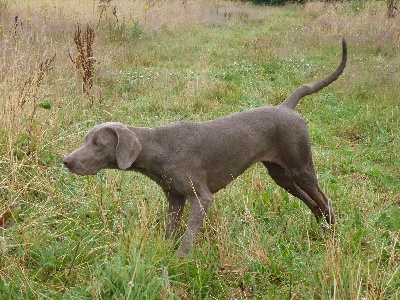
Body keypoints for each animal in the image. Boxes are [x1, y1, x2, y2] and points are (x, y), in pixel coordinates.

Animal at [63, 39, 346, 255]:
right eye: (85, 140)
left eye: (98, 143)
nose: (66, 161)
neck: (159, 148)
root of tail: (287, 106)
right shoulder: (174, 198)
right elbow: (170, 232)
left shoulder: (201, 198)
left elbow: (188, 238)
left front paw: (180, 262)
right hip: (281, 175)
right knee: (312, 202)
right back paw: (322, 228)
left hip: (301, 167)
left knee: (325, 199)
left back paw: (334, 234)